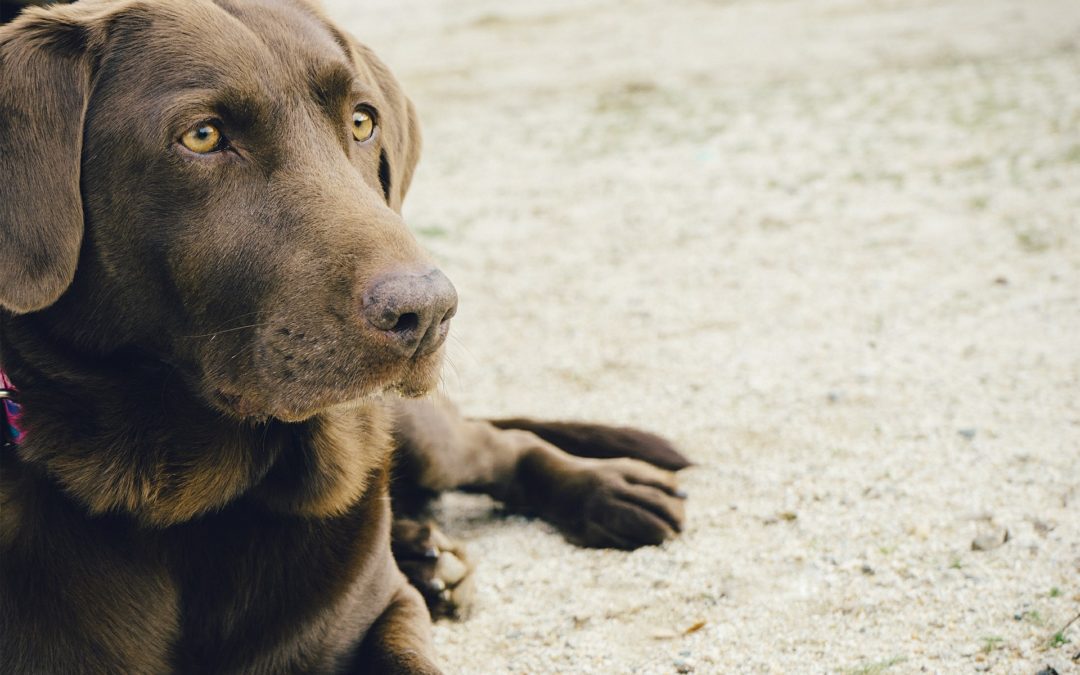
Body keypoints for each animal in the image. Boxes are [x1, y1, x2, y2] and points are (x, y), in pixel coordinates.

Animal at [0, 1, 686, 669]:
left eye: (362, 122)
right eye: (202, 135)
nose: (427, 311)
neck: (189, 504)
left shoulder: (384, 612)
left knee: (499, 444)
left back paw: (609, 492)